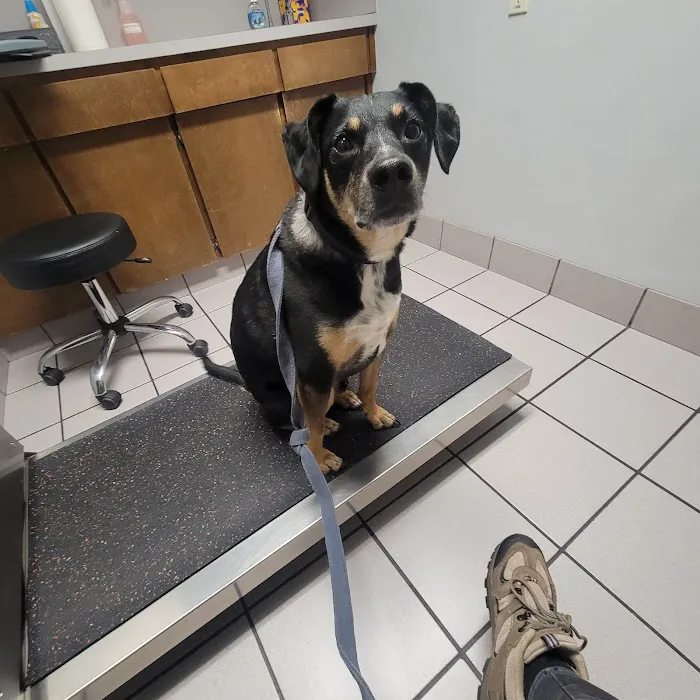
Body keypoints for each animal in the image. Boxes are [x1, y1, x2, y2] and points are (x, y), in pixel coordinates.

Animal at [204, 82, 460, 473]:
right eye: (342, 143)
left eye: (414, 129)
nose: (392, 172)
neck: (361, 259)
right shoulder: (312, 371)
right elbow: (308, 425)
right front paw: (321, 457)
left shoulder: (377, 346)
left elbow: (370, 386)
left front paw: (374, 415)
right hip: (287, 395)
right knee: (291, 421)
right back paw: (324, 425)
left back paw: (346, 398)